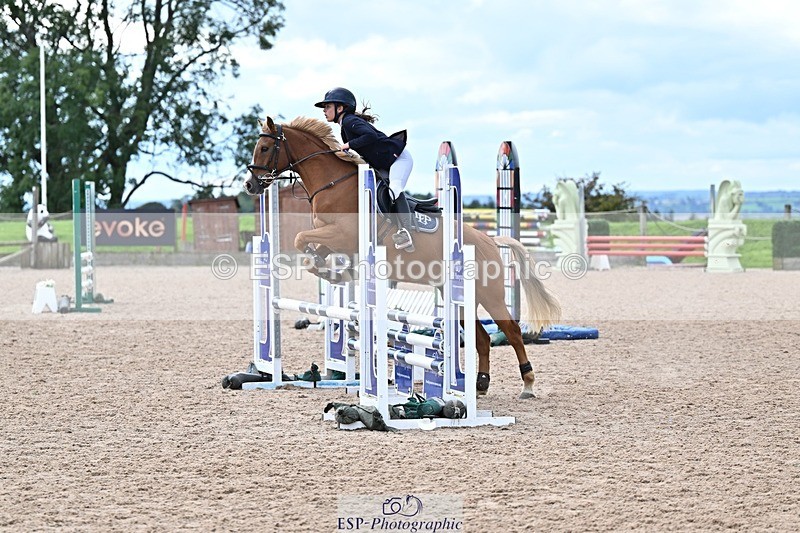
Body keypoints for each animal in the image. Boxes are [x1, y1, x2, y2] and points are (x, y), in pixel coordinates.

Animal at [244, 116, 561, 399]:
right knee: (482, 338)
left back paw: (527, 384)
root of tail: (490, 241)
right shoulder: (331, 238)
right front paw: (330, 271)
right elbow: (307, 248)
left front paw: (330, 271)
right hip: (460, 297)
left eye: (264, 148)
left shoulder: (343, 235)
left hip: (490, 294)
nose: (250, 185)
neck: (333, 184)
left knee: (512, 331)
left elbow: (301, 239)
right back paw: (480, 385)